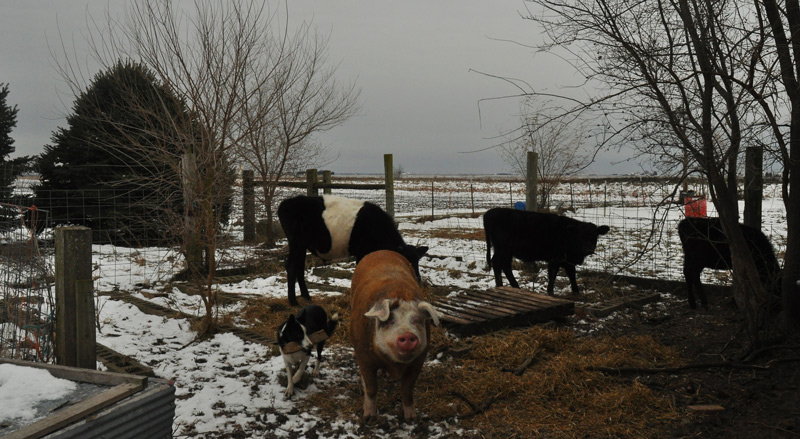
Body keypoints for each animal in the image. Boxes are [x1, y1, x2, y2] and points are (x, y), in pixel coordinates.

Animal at [277, 195, 428, 306]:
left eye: (417, 261)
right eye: (406, 262)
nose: (418, 280)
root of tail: (287, 202)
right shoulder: (362, 251)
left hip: (301, 246)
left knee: (299, 267)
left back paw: (306, 297)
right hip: (297, 243)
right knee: (291, 266)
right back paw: (293, 302)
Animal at [349, 250, 440, 422]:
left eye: (417, 320)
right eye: (390, 320)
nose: (408, 335)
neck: (394, 365)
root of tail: (381, 251)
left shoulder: (418, 361)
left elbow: (408, 390)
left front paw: (411, 418)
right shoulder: (363, 356)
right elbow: (371, 387)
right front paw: (368, 417)